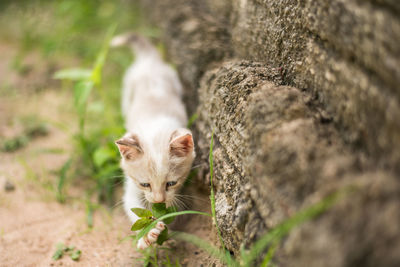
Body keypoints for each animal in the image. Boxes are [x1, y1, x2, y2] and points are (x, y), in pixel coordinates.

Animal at [111, 33, 195, 249]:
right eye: (145, 184)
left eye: (171, 183)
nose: (158, 201)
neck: (154, 125)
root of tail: (149, 60)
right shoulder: (131, 184)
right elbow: (131, 204)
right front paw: (146, 235)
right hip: (127, 88)